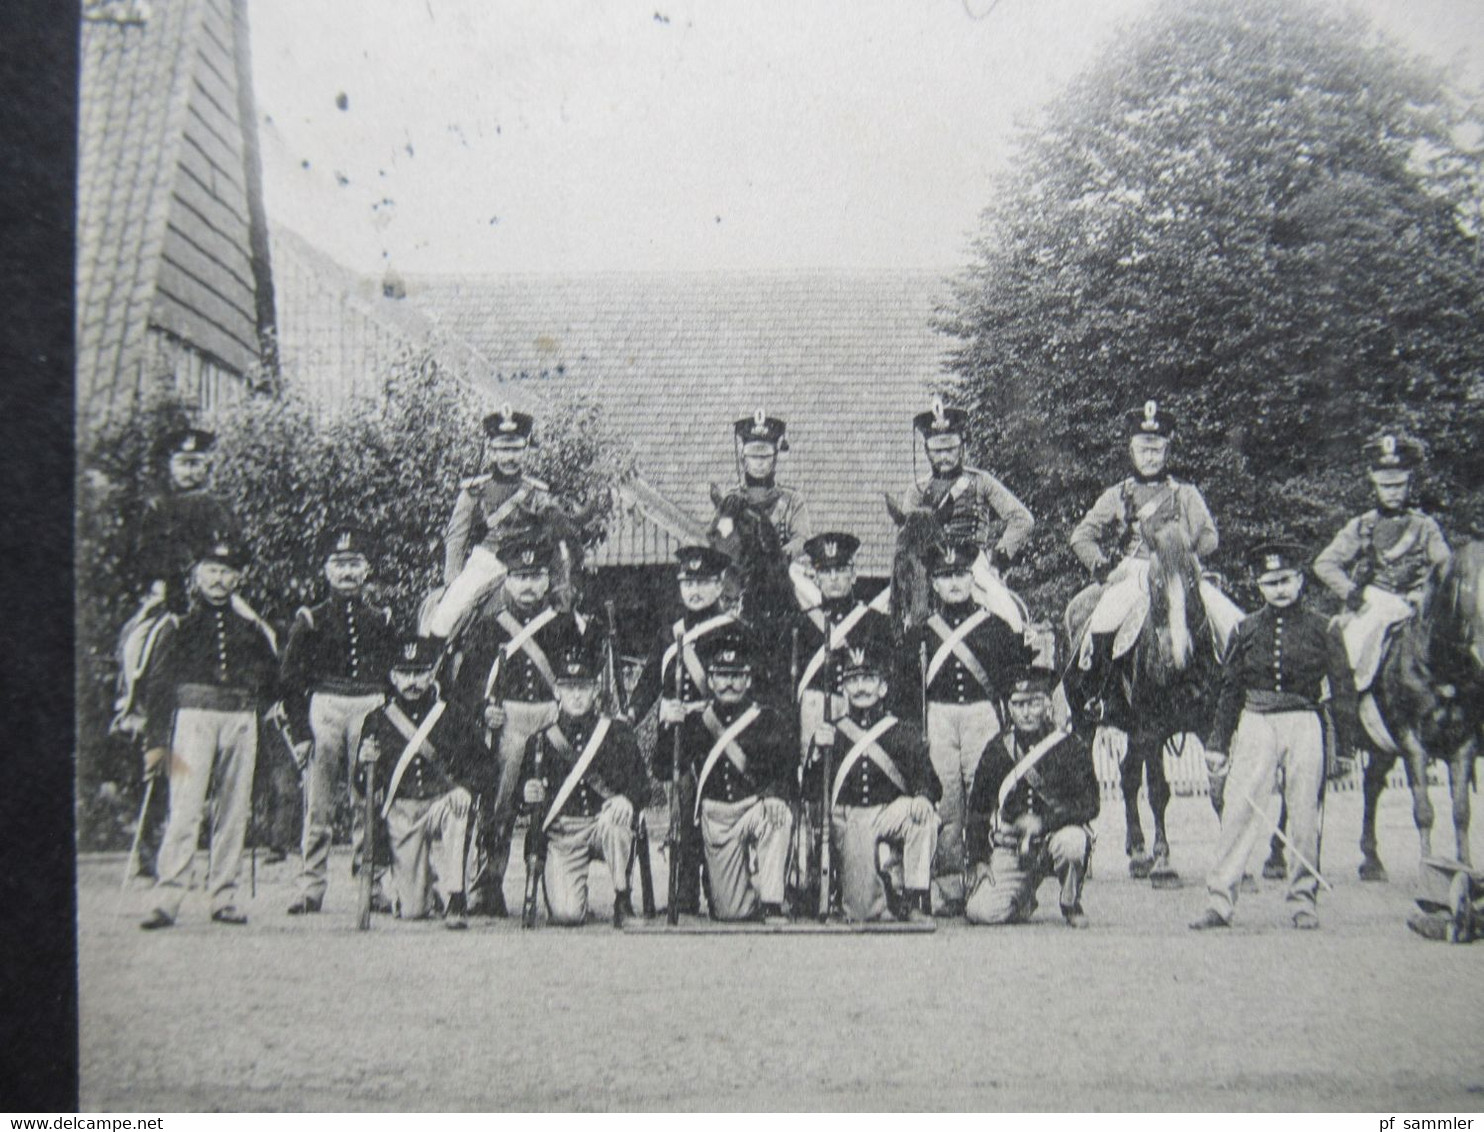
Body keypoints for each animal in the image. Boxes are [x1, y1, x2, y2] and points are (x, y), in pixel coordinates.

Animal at [1062, 519, 1234, 884]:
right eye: (1155, 583)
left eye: (1192, 580)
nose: (1176, 655)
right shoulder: (1153, 729)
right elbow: (1157, 791)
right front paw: (1164, 862)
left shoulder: (1207, 725)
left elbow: (1218, 787)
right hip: (1086, 722)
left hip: (1132, 728)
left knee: (1127, 776)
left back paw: (1138, 853)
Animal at [1359, 537, 1484, 878]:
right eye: (1469, 586)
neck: (1439, 668)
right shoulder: (1412, 743)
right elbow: (1424, 810)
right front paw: (1428, 867)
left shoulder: (1464, 744)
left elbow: (1461, 810)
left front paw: (1465, 867)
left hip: (1381, 749)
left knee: (1371, 785)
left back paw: (1371, 861)